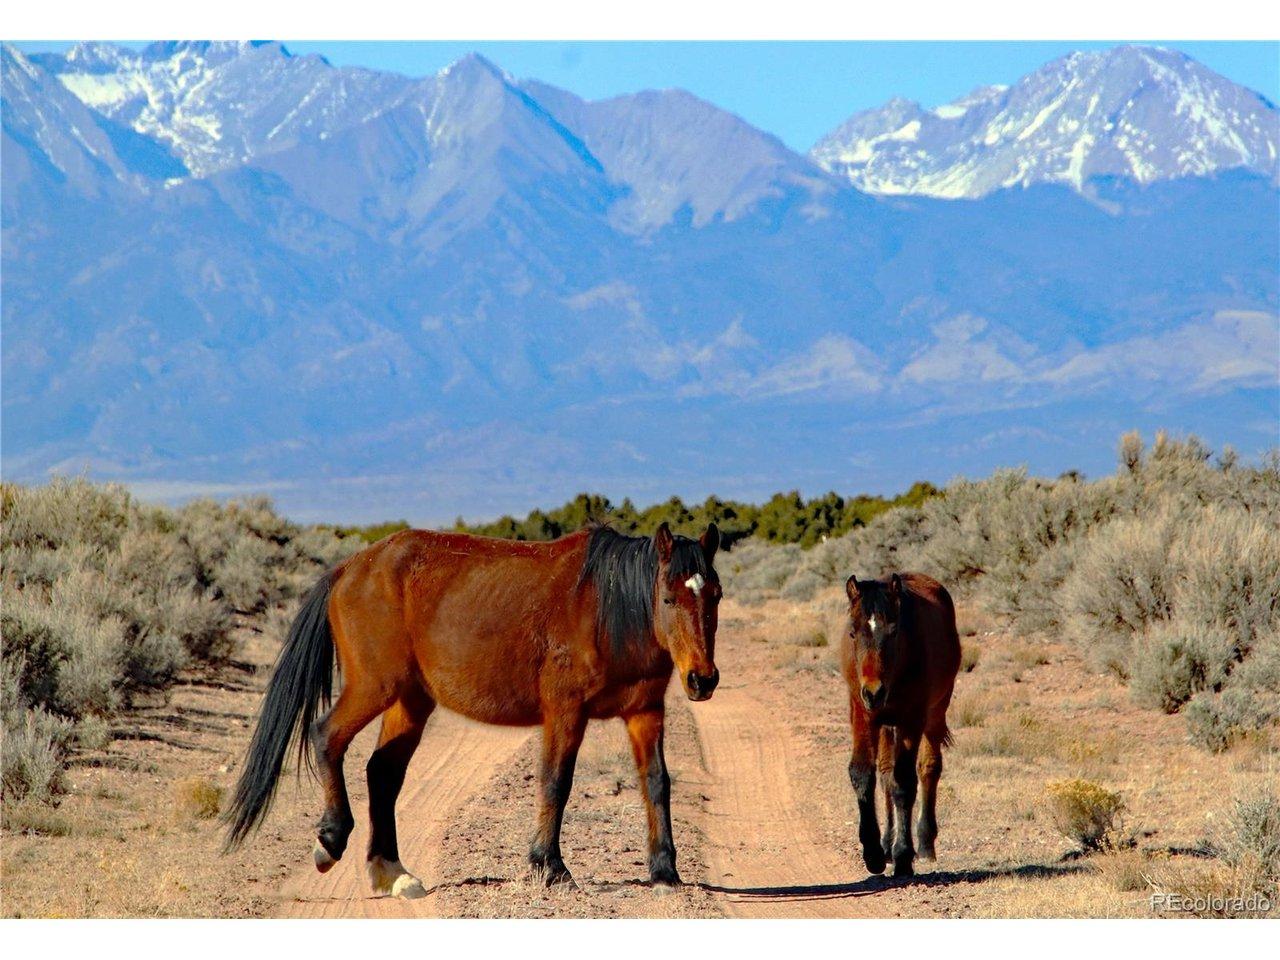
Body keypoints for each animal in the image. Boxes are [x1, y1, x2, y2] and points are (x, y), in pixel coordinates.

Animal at [223, 521, 722, 897]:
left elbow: (657, 783)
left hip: (410, 699)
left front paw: (665, 871)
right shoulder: (565, 712)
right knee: (327, 736)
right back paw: (330, 839)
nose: (703, 679)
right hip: (374, 687)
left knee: (382, 772)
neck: (608, 608)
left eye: (713, 595)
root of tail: (349, 568)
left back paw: (392, 873)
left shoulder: (646, 712)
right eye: (669, 597)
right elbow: (556, 782)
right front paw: (550, 867)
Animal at [840, 572, 960, 878]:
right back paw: (886, 844)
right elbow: (863, 773)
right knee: (885, 773)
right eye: (853, 633)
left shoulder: (911, 720)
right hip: (884, 725)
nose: (873, 692)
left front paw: (904, 855)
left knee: (929, 768)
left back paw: (925, 843)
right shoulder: (863, 715)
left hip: (935, 714)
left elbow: (904, 782)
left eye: (893, 632)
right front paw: (873, 852)